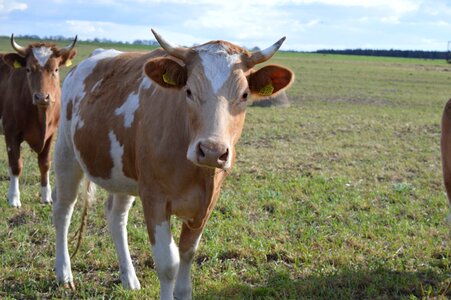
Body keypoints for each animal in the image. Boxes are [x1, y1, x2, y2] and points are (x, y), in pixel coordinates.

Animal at [0, 35, 77, 207]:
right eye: (28, 69)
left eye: (56, 69)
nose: (42, 97)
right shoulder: (11, 132)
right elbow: (15, 165)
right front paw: (14, 198)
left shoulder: (51, 134)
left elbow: (45, 164)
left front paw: (46, 195)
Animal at [53, 29, 294, 298]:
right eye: (188, 91)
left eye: (244, 95)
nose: (212, 151)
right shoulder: (154, 199)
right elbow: (169, 263)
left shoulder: (206, 203)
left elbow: (187, 254)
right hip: (66, 154)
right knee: (63, 209)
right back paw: (64, 274)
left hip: (124, 171)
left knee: (116, 216)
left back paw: (129, 277)